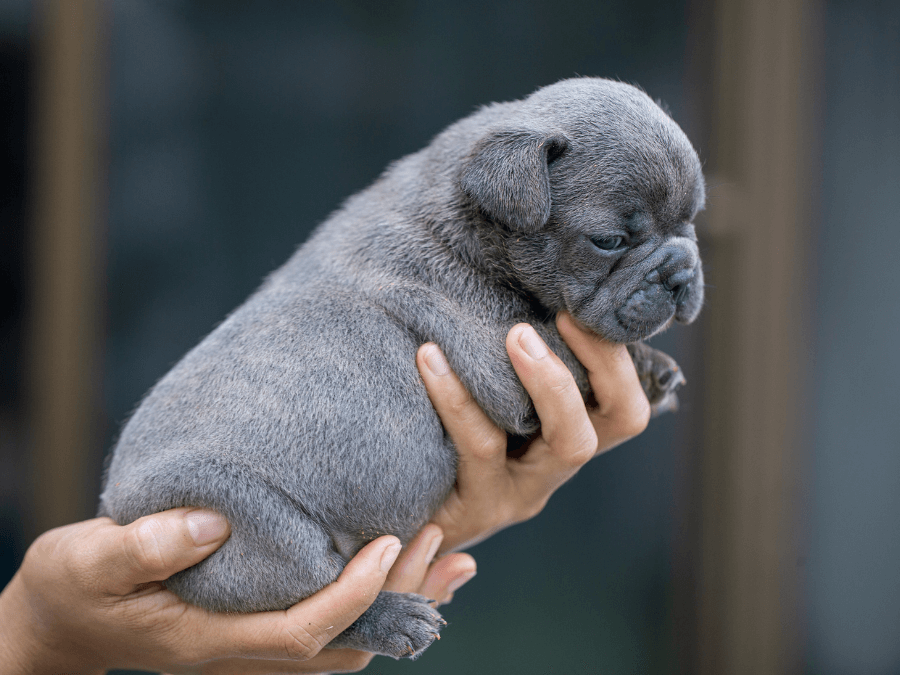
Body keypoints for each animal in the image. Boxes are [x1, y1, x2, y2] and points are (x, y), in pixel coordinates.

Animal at [98, 78, 704, 660]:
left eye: (693, 221)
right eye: (609, 241)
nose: (681, 273)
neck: (468, 210)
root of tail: (118, 511)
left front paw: (656, 369)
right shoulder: (502, 347)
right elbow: (572, 347)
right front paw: (644, 365)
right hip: (248, 521)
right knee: (318, 601)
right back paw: (388, 620)